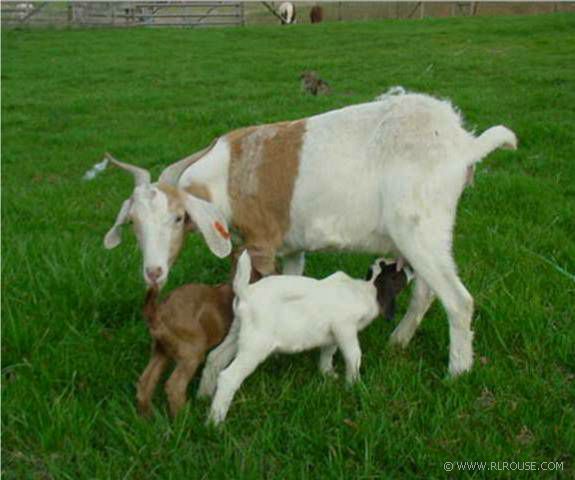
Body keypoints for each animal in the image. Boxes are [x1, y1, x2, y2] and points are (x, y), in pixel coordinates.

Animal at [103, 89, 516, 378]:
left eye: (177, 218)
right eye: (134, 224)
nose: (153, 272)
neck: (227, 176)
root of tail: (464, 145)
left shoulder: (260, 244)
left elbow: (246, 297)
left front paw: (221, 360)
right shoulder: (290, 249)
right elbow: (289, 283)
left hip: (418, 226)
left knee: (459, 301)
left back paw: (457, 373)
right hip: (427, 234)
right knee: (428, 291)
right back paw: (398, 342)